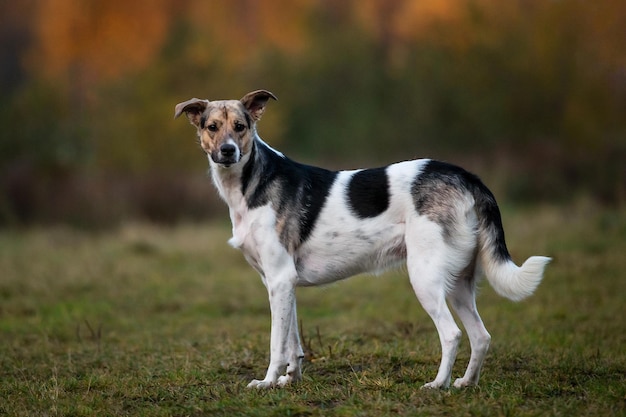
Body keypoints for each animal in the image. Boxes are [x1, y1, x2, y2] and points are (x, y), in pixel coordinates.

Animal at [173, 89, 548, 388]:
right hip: (458, 283)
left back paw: (436, 385)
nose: (228, 151)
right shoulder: (283, 283)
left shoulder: (279, 279)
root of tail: (466, 177)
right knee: (481, 336)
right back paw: (465, 384)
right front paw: (290, 380)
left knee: (452, 334)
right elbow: (293, 342)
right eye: (211, 127)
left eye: (241, 126)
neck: (251, 181)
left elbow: (276, 344)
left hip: (425, 278)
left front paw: (266, 382)